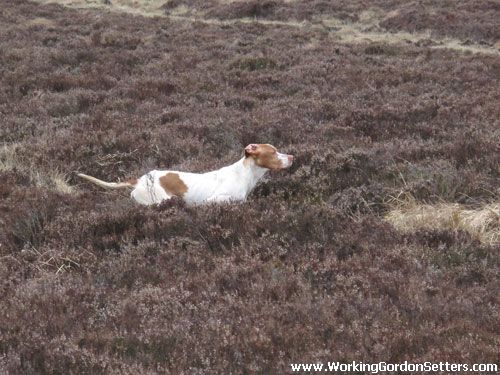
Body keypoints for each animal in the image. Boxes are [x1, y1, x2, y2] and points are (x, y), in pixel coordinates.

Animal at [77, 145, 292, 207]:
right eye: (273, 152)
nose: (292, 157)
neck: (245, 174)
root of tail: (140, 179)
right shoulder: (214, 200)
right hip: (160, 200)